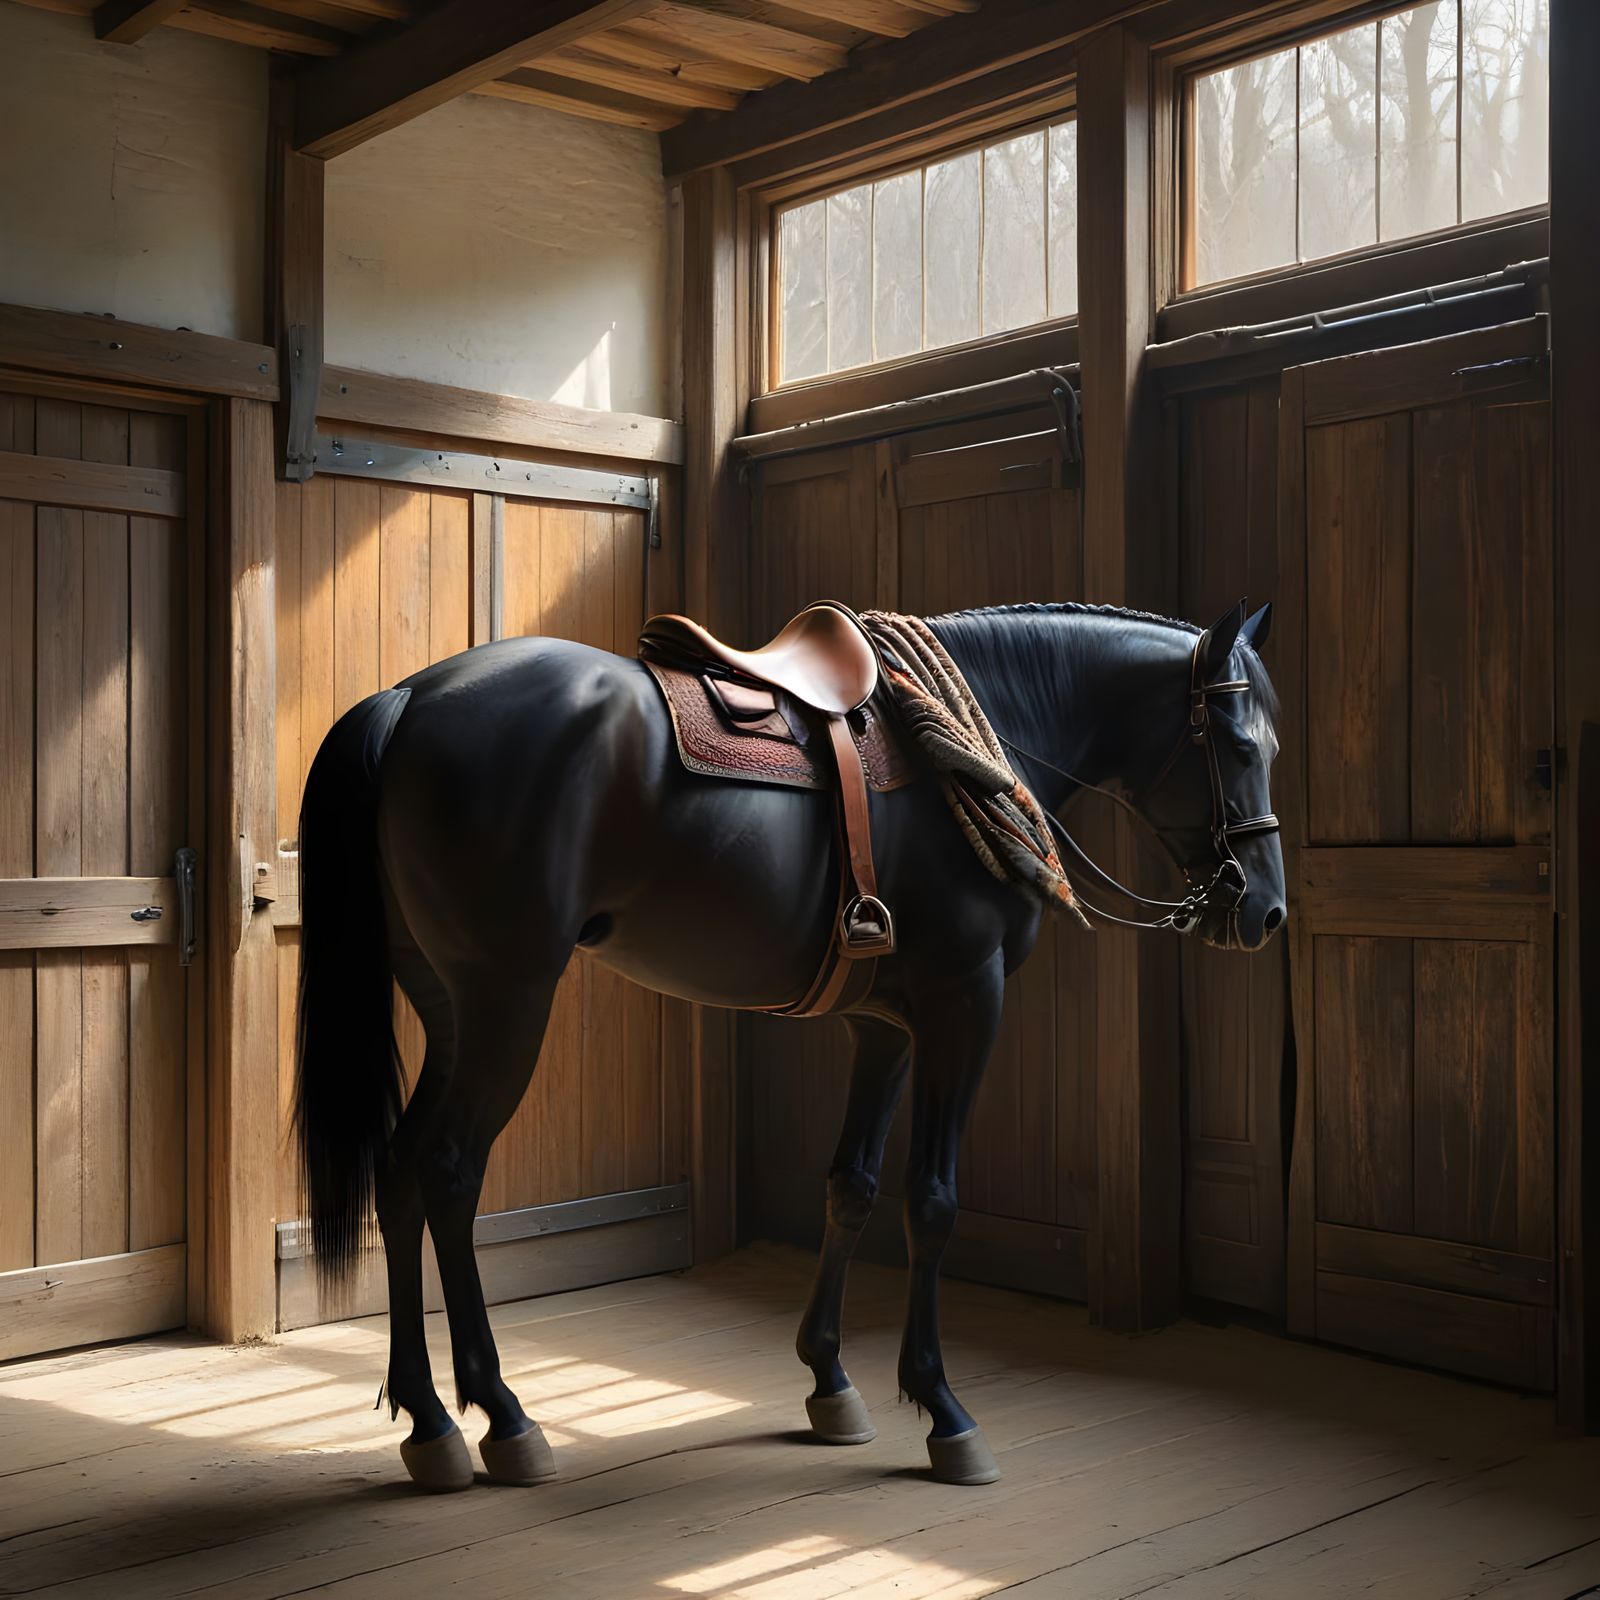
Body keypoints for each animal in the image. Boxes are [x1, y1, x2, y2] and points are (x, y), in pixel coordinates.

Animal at [294, 596, 1284, 1492]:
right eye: (1241, 748)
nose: (1266, 910)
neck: (981, 738)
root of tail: (410, 697)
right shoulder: (967, 1002)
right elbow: (932, 1203)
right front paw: (943, 1410)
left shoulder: (884, 1027)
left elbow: (852, 1188)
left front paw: (830, 1380)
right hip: (508, 1002)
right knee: (450, 1171)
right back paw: (502, 1415)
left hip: (450, 1008)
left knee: (401, 1169)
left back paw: (428, 1420)